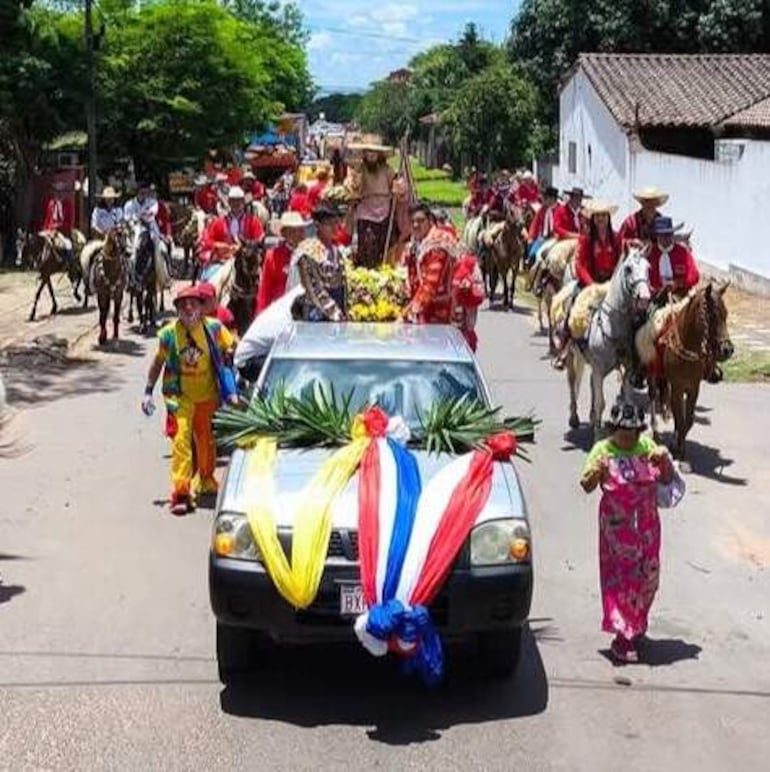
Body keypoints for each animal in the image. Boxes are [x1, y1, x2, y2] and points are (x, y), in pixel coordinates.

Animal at [556, 250, 652, 438]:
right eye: (628, 268)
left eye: (648, 268)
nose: (644, 298)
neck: (612, 326)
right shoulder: (599, 368)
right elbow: (601, 402)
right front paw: (598, 435)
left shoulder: (627, 370)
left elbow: (626, 402)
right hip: (572, 356)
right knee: (573, 384)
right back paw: (574, 418)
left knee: (591, 385)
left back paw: (592, 418)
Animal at [632, 282, 736, 464]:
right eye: (712, 315)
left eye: (726, 314)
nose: (727, 350)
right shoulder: (678, 387)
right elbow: (680, 419)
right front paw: (679, 451)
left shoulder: (693, 388)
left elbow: (688, 420)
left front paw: (679, 445)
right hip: (652, 372)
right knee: (653, 395)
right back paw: (656, 432)